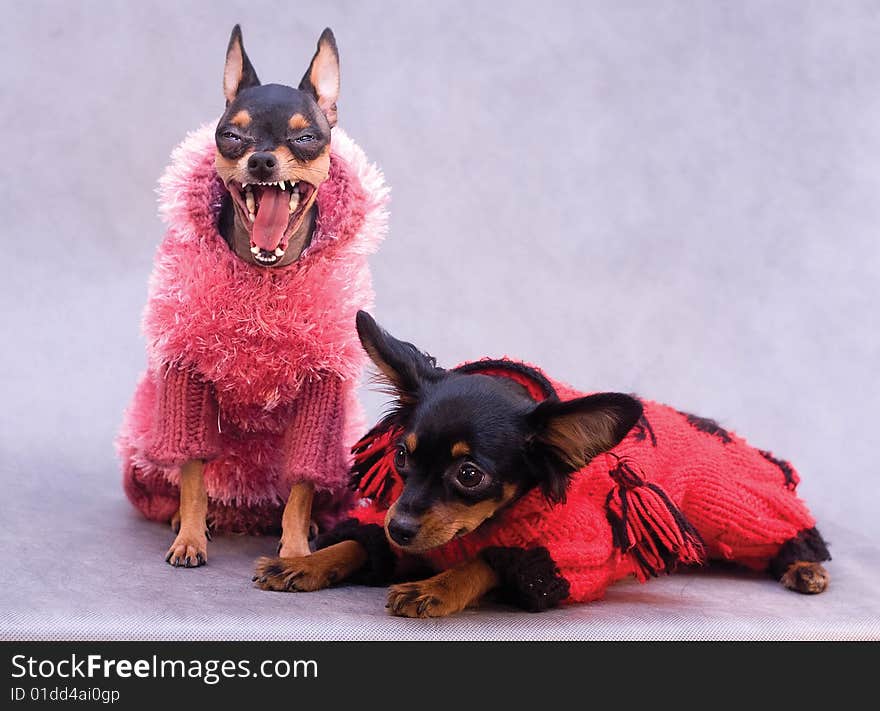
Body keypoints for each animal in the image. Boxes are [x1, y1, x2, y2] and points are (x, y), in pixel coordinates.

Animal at [117, 27, 388, 572]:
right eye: (231, 135)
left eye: (305, 138)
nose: (261, 159)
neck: (264, 275)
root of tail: (248, 508)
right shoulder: (188, 370)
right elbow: (194, 473)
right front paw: (191, 538)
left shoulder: (321, 385)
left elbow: (302, 485)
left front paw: (297, 550)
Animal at [253, 312, 832, 616]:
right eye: (400, 456)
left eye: (469, 475)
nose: (399, 528)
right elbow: (356, 543)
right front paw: (306, 562)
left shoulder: (573, 555)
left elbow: (485, 562)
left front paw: (435, 586)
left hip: (735, 506)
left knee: (785, 529)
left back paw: (803, 565)